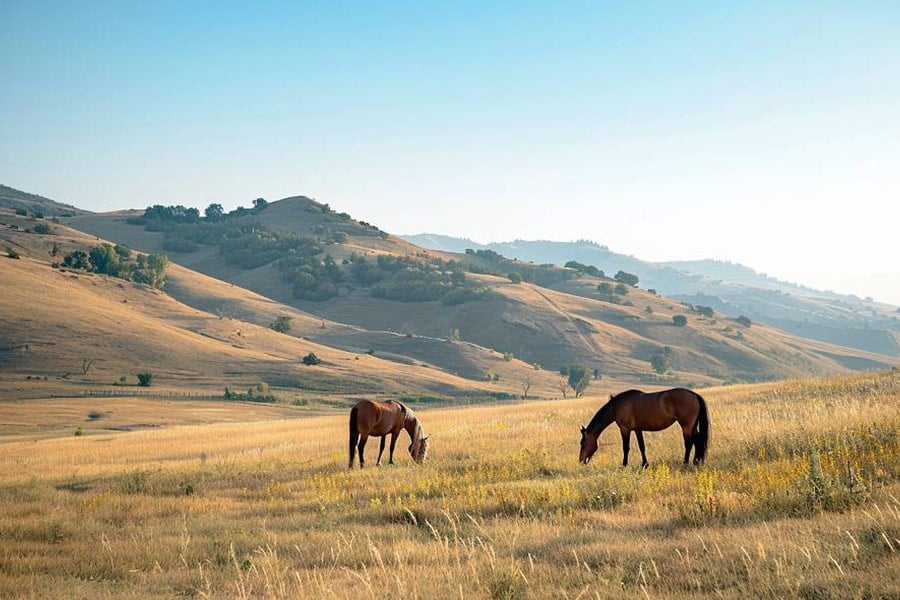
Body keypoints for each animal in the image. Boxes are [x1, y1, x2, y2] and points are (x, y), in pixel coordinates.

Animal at [579, 388, 710, 467]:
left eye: (583, 443)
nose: (581, 460)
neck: (616, 406)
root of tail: (694, 395)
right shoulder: (638, 429)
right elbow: (642, 446)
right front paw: (645, 464)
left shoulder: (625, 430)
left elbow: (625, 447)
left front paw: (624, 464)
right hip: (693, 426)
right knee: (698, 441)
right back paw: (697, 461)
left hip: (686, 426)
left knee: (689, 443)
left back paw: (686, 462)